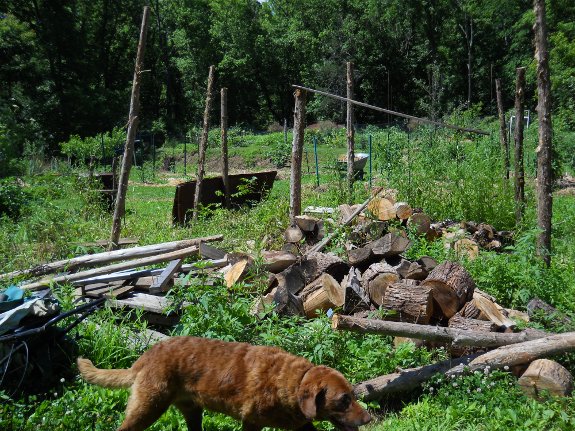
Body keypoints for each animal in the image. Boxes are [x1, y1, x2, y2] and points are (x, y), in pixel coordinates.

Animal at [76, 338, 372, 431]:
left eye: (353, 395)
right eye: (344, 400)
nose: (370, 419)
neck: (293, 383)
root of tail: (145, 357)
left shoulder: (301, 425)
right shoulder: (251, 422)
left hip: (191, 410)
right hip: (148, 407)